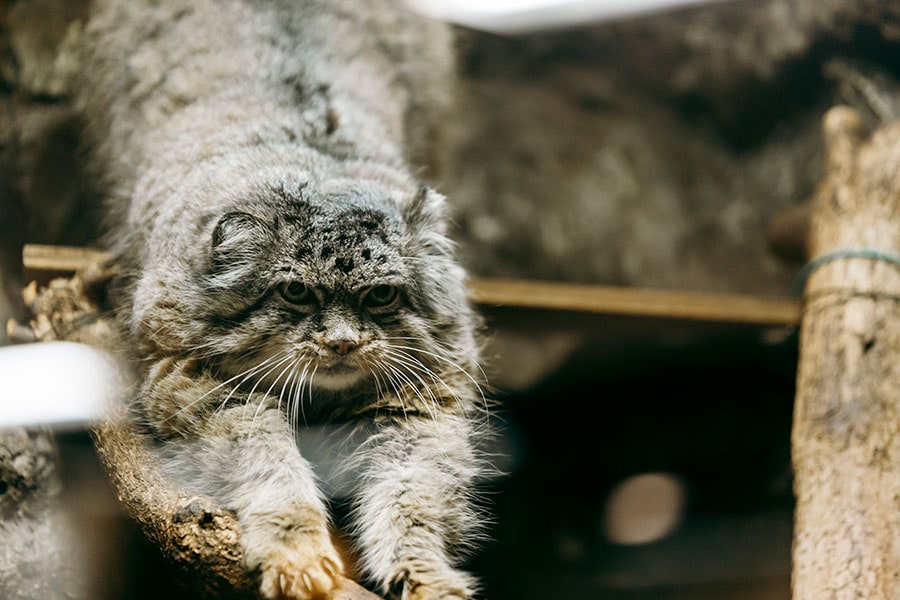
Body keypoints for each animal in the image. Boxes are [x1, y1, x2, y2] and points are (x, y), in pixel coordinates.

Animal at [77, 2, 486, 596]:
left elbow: (411, 501)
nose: (342, 343)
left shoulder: (420, 408)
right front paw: (296, 550)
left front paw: (424, 574)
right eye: (296, 291)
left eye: (381, 296)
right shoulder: (194, 385)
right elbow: (270, 465)